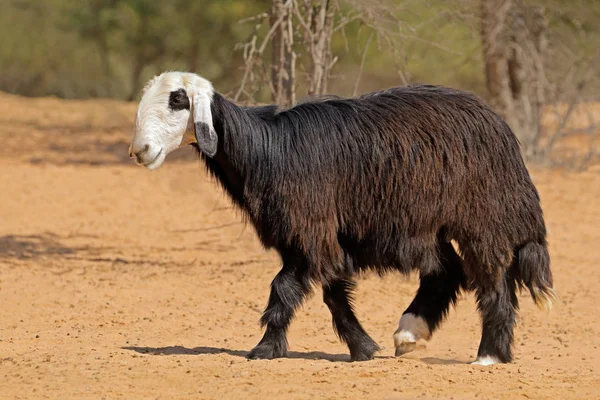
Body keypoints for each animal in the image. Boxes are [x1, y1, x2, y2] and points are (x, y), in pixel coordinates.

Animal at [129, 70, 556, 364]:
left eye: (178, 100)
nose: (140, 150)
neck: (267, 150)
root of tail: (499, 125)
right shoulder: (316, 235)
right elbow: (332, 291)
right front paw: (363, 348)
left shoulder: (310, 229)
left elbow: (284, 289)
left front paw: (264, 349)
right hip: (429, 225)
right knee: (446, 272)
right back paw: (409, 334)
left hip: (483, 218)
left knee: (492, 278)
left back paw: (489, 355)